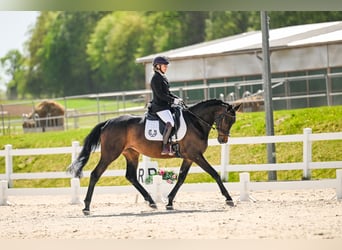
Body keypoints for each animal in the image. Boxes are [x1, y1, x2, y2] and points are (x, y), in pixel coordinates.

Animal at [67, 98, 240, 215]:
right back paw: (86, 207)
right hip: (110, 154)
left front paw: (169, 202)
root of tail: (108, 122)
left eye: (233, 121)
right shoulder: (195, 155)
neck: (195, 122)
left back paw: (151, 202)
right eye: (225, 118)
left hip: (131, 153)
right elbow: (214, 173)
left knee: (131, 176)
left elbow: (181, 178)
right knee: (95, 174)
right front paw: (229, 198)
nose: (223, 140)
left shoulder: (189, 157)